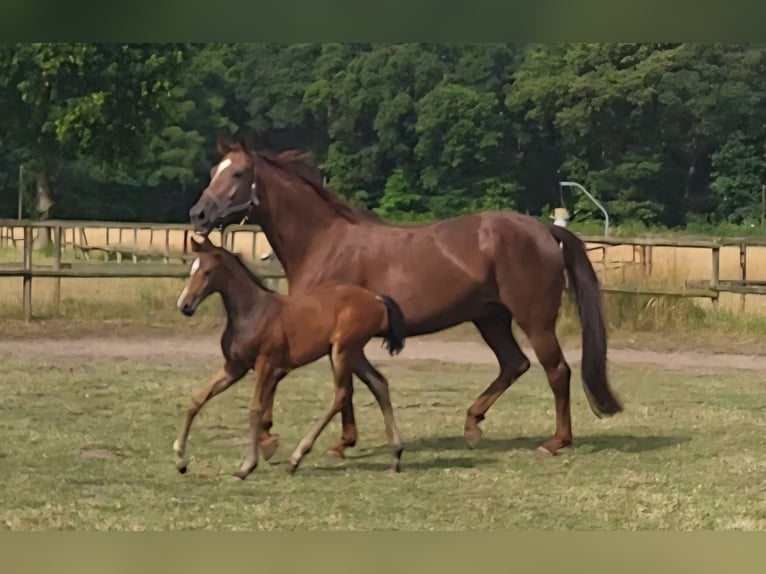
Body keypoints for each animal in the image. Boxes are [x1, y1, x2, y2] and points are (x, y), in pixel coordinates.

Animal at [173, 236, 407, 479]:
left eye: (207, 272)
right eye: (192, 269)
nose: (184, 305)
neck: (252, 312)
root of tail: (377, 298)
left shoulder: (265, 364)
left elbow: (255, 409)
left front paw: (247, 466)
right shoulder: (234, 366)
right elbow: (198, 398)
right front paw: (180, 459)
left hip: (342, 350)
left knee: (342, 394)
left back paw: (296, 458)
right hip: (354, 352)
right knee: (378, 383)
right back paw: (395, 453)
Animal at [187, 130, 623, 461]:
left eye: (238, 173)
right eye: (213, 171)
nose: (198, 215)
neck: (325, 243)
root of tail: (544, 230)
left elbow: (342, 385)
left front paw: (297, 440)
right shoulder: (341, 338)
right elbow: (353, 383)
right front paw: (341, 441)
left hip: (533, 319)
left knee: (557, 370)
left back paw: (555, 442)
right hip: (490, 317)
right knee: (514, 364)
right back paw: (472, 426)